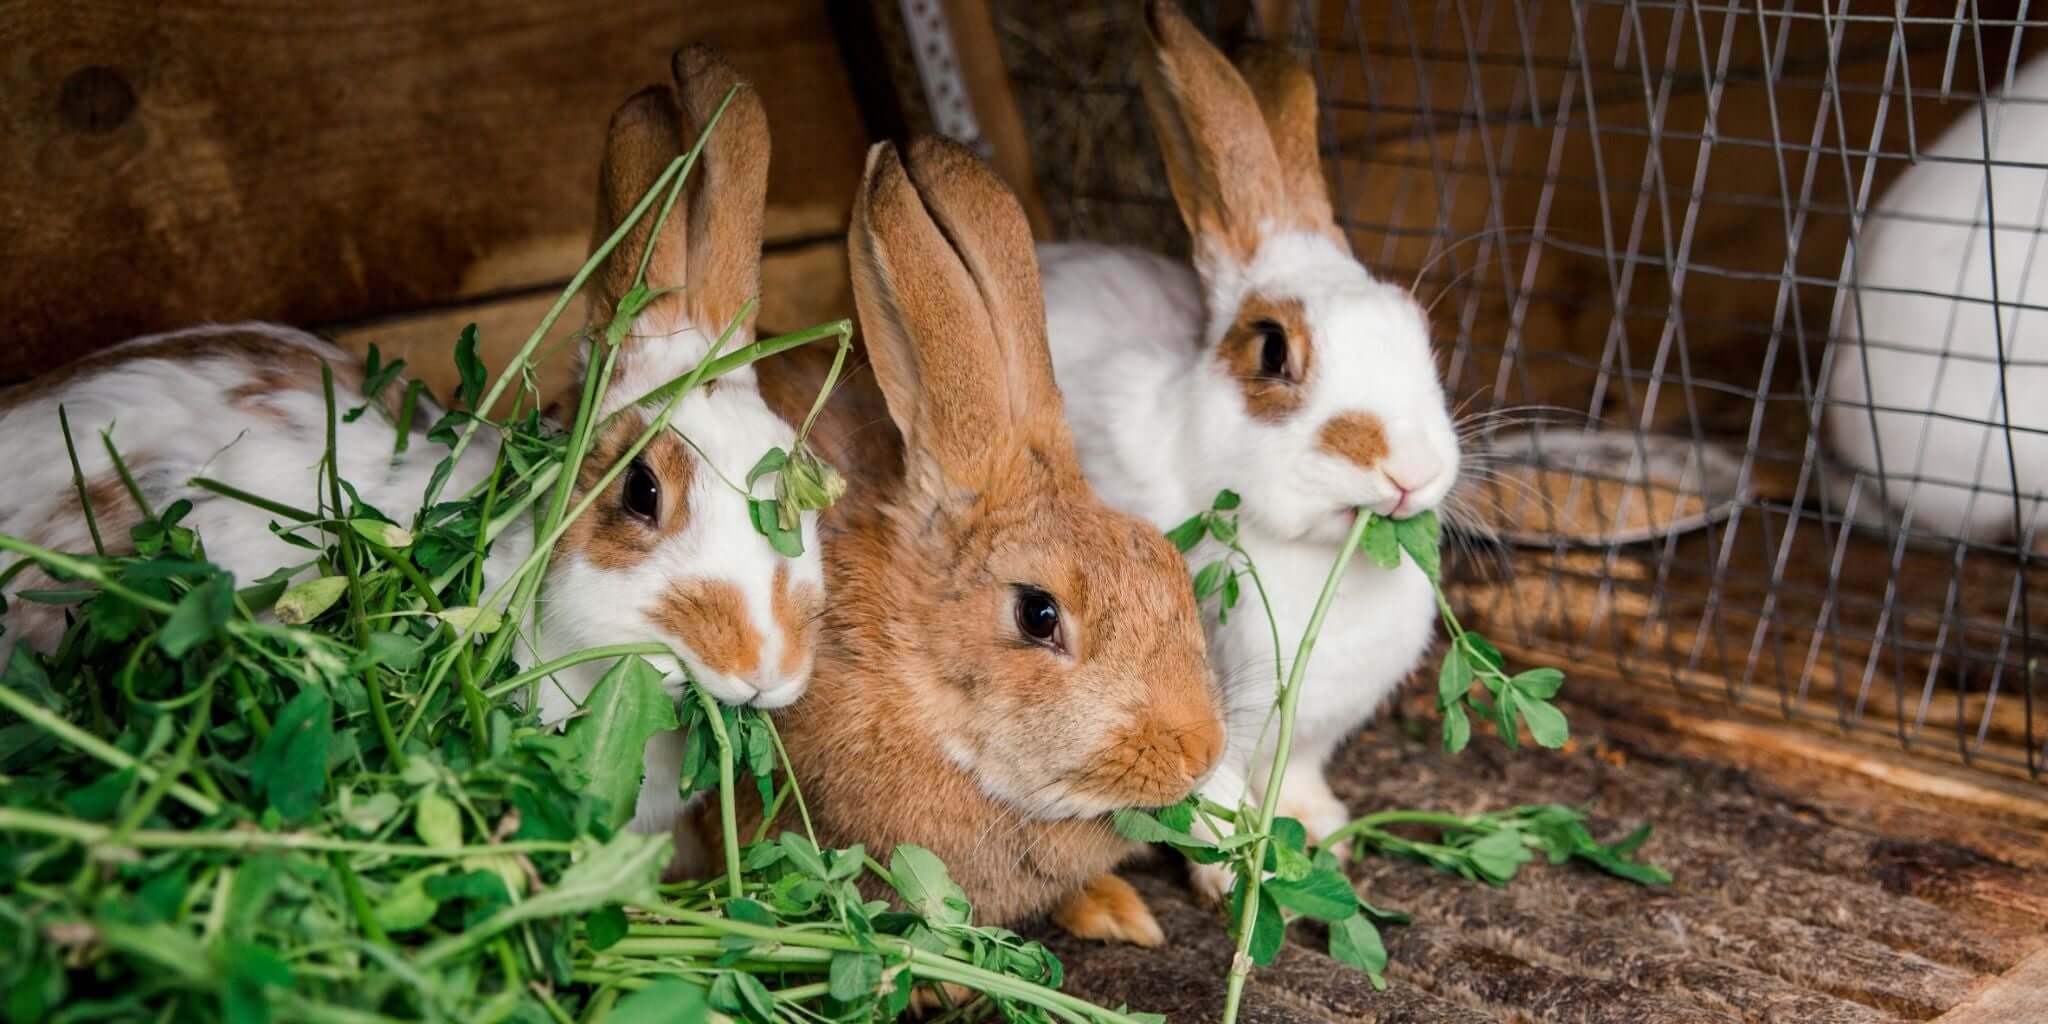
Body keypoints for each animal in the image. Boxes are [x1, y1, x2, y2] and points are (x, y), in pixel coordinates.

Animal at [1032, 0, 1461, 899]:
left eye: (1418, 331)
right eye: (1271, 350)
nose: (1411, 472)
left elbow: (1294, 774)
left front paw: (1321, 830)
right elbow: (1203, 788)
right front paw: (1233, 874)